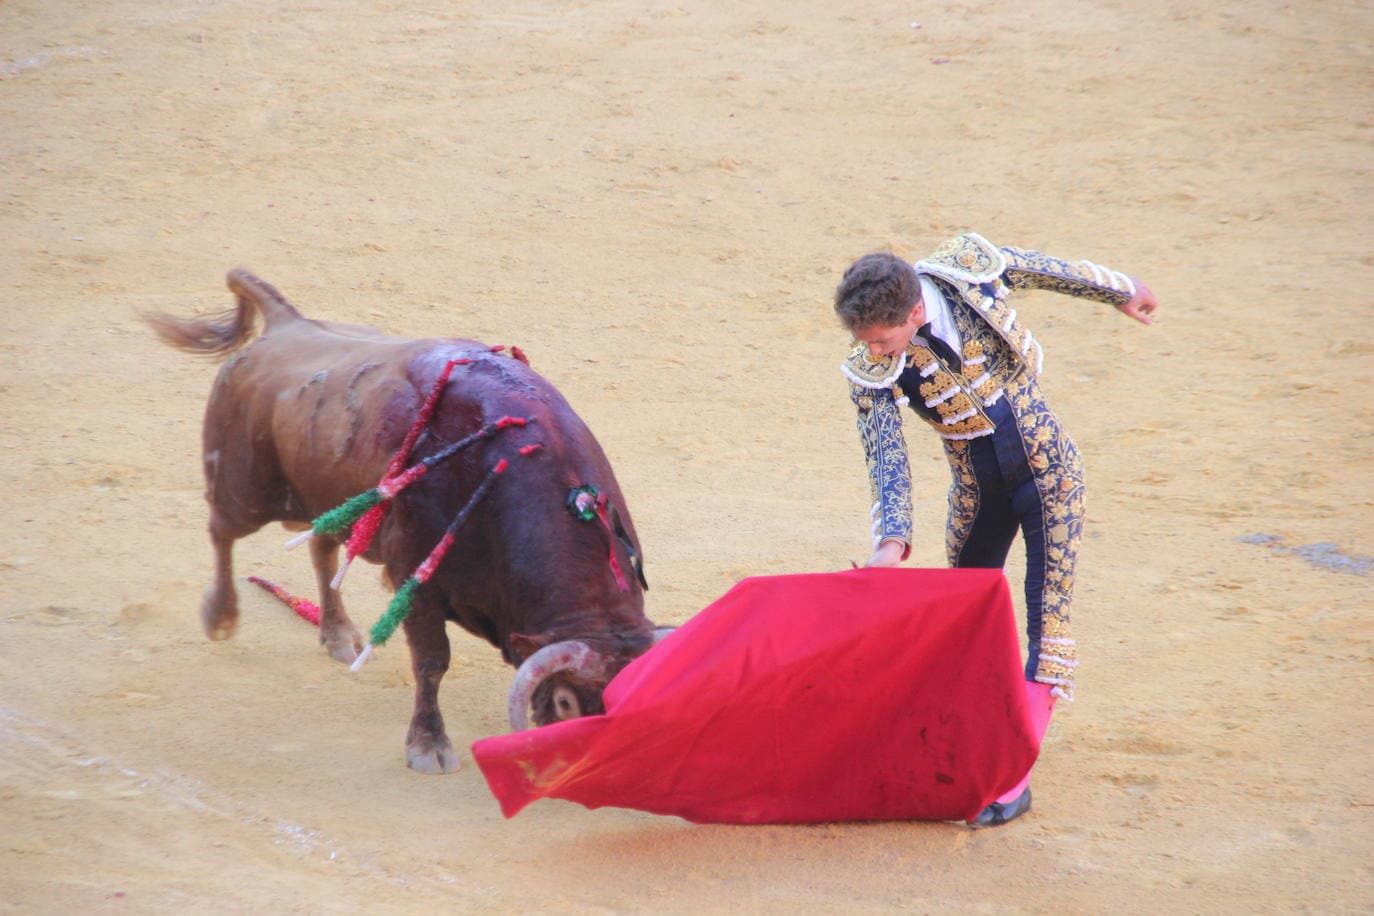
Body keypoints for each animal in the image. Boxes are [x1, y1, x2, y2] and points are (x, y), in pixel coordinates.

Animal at [147, 271, 662, 774]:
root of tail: (285, 323)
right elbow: (433, 661)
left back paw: (338, 635)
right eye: (566, 702)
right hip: (245, 490)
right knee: (222, 531)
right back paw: (221, 617)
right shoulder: (417, 585)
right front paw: (428, 746)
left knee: (322, 548)